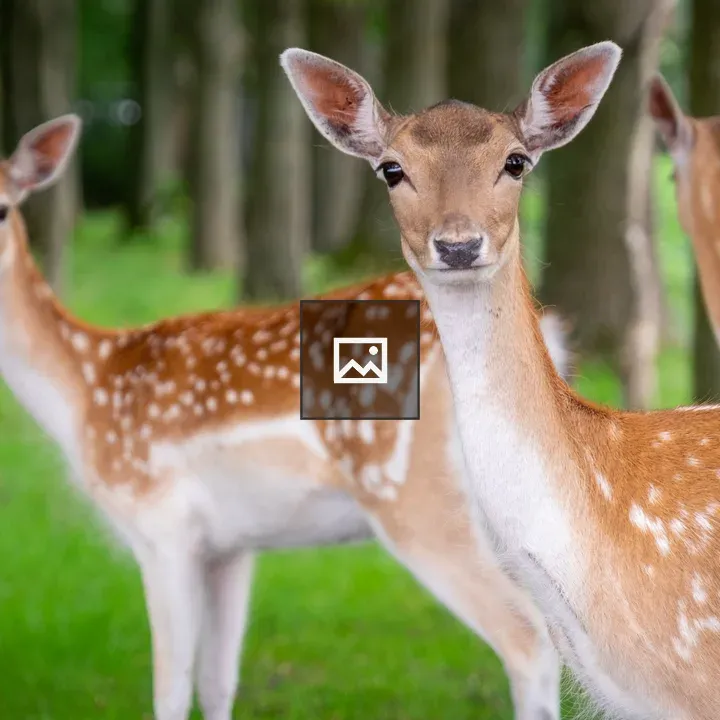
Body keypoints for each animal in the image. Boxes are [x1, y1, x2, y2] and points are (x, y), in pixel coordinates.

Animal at [0, 117, 575, 720]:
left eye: (2, 209)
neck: (87, 391)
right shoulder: (228, 546)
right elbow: (217, 683)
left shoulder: (160, 523)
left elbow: (171, 691)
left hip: (415, 496)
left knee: (527, 639)